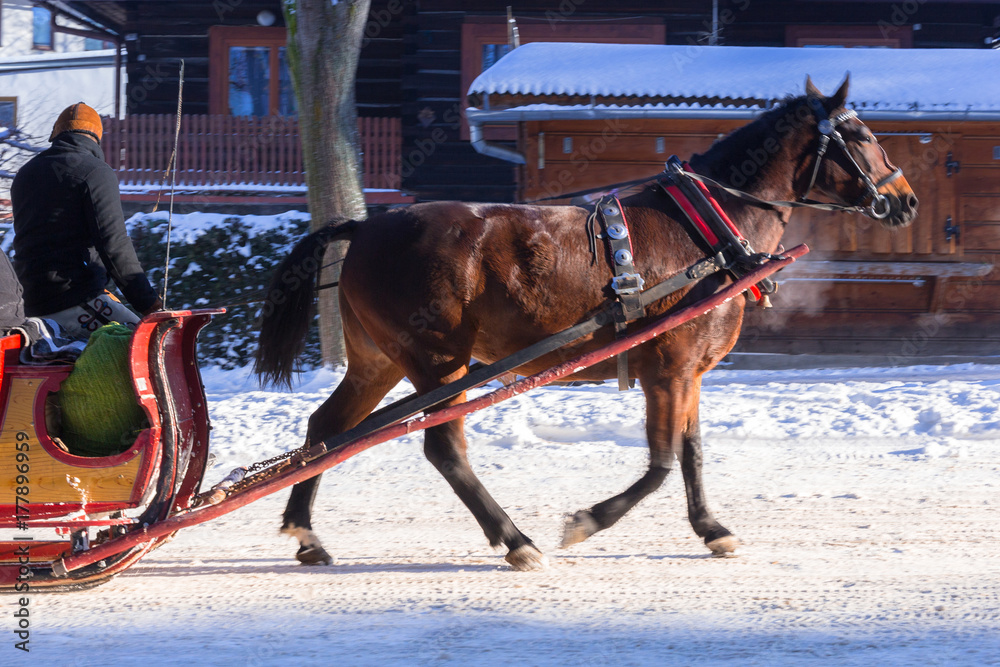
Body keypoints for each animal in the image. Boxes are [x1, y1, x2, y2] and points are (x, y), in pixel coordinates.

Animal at [256, 77, 916, 568]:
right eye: (861, 134)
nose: (905, 199)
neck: (705, 230)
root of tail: (368, 227)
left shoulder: (690, 372)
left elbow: (693, 453)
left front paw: (710, 526)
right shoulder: (669, 369)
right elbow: (661, 462)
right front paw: (588, 521)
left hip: (379, 360)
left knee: (326, 430)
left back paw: (306, 532)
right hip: (440, 360)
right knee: (443, 447)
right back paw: (516, 540)